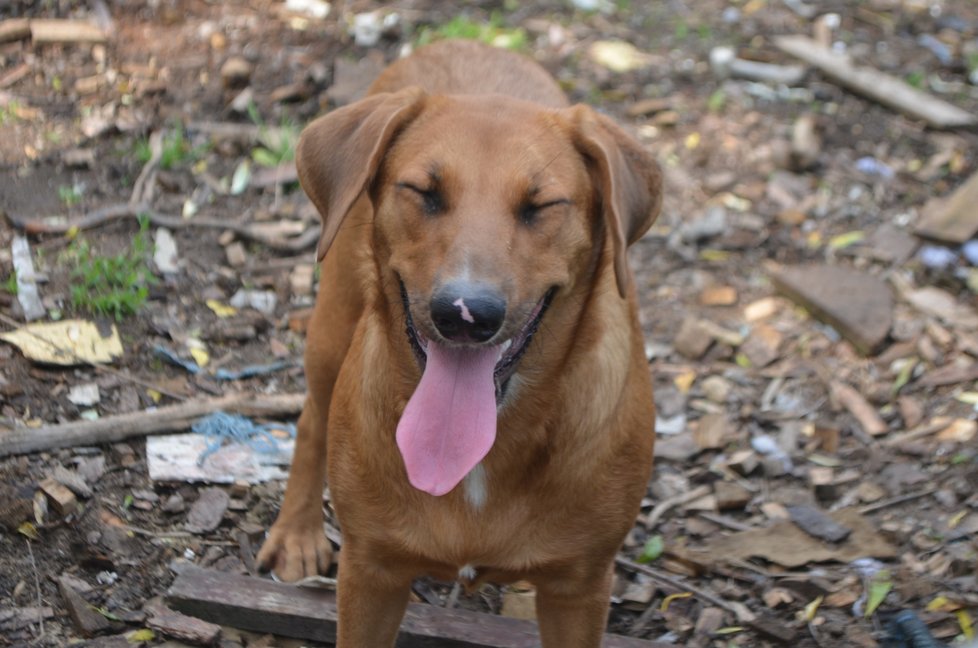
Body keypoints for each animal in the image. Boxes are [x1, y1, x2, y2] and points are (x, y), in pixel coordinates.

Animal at [255, 38, 660, 644]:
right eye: (424, 192)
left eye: (541, 206)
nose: (465, 315)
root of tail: (463, 39)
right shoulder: (370, 572)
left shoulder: (581, 588)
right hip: (332, 326)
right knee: (310, 419)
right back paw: (297, 532)